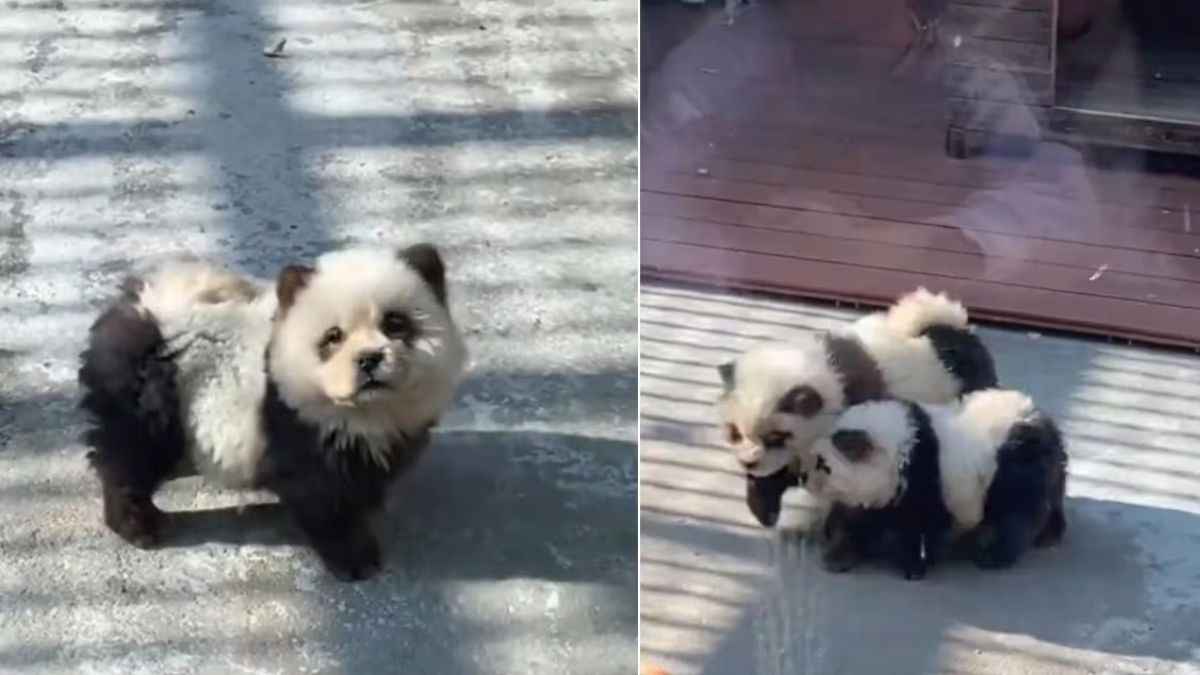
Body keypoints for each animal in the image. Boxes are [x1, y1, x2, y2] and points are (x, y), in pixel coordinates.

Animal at [77, 244, 468, 581]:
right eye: (333, 336)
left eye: (395, 323)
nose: (369, 359)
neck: (366, 410)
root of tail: (143, 305)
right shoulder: (297, 429)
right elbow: (322, 499)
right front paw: (355, 557)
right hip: (148, 392)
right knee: (130, 456)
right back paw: (139, 525)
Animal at [715, 288, 998, 571]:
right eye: (735, 433)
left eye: (776, 437)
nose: (748, 463)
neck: (825, 375)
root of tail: (953, 328)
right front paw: (764, 506)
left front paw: (821, 535)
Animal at [797, 389, 1068, 580]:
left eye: (822, 464)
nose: (802, 478)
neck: (899, 448)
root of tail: (1042, 425)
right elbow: (859, 521)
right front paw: (838, 556)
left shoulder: (923, 483)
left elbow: (918, 528)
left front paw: (914, 566)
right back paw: (1050, 534)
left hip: (1011, 473)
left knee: (1015, 519)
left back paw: (993, 556)